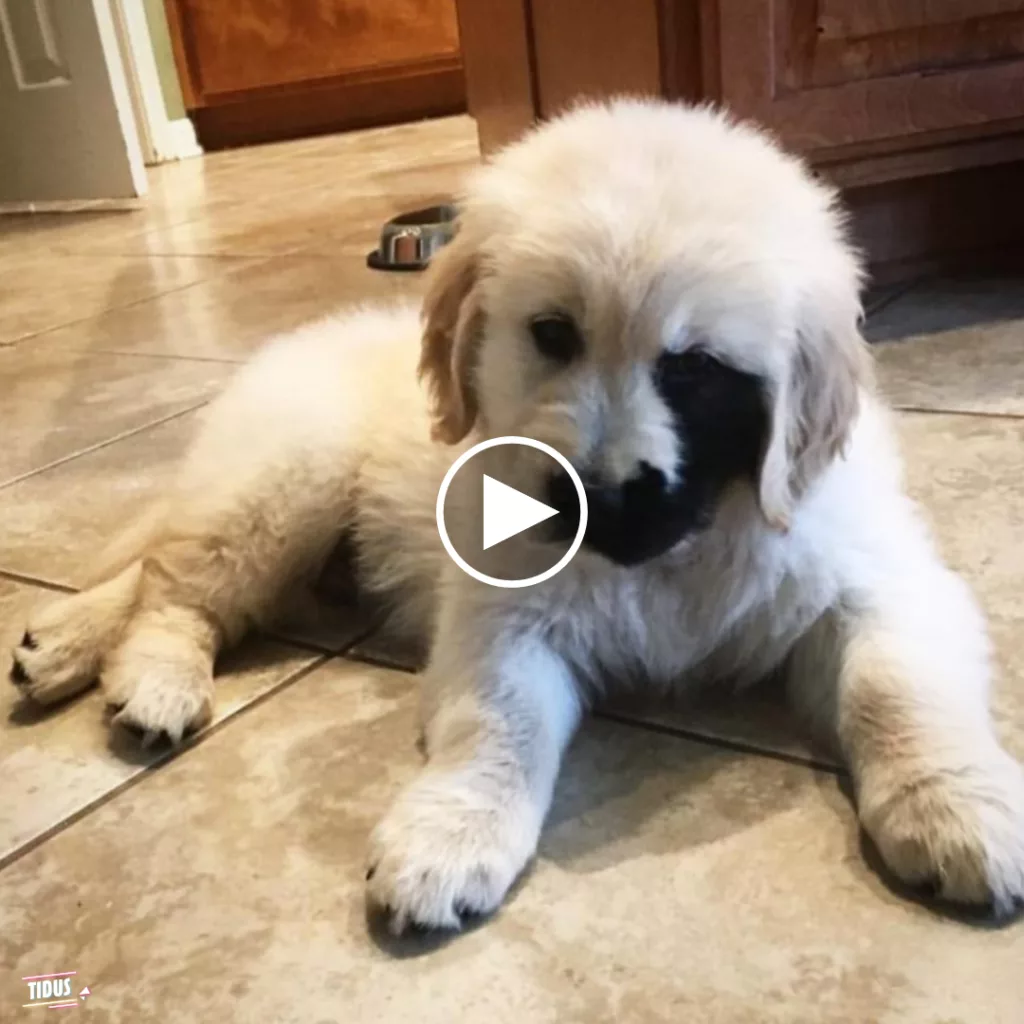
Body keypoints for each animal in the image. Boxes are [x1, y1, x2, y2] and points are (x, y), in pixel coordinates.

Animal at [9, 101, 1024, 929]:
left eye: (695, 369)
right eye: (553, 335)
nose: (595, 497)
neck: (672, 557)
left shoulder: (876, 584)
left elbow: (896, 687)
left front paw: (957, 804)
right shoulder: (502, 620)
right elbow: (501, 727)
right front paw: (449, 836)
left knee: (158, 571)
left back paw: (59, 644)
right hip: (281, 485)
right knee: (178, 585)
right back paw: (151, 678)